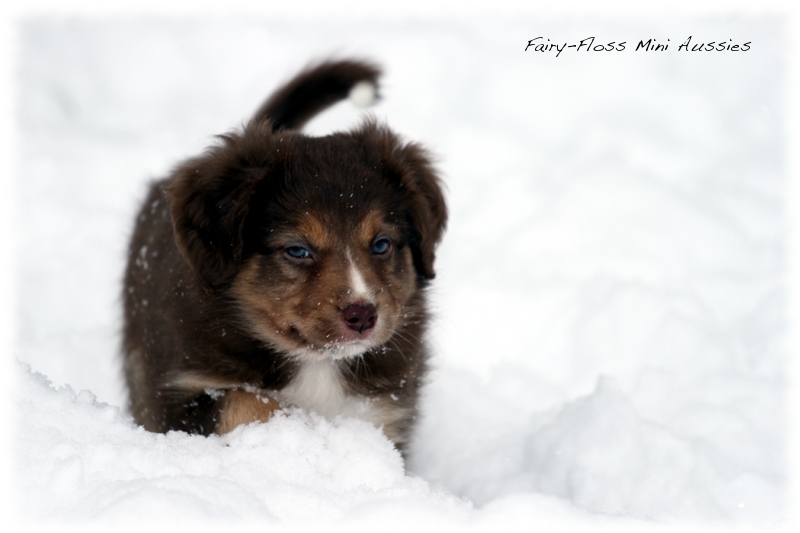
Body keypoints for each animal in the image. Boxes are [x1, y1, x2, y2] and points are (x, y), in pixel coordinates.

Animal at [126, 59, 450, 454]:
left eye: (381, 244)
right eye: (297, 250)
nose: (362, 315)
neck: (318, 364)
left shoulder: (384, 410)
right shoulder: (179, 396)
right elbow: (247, 400)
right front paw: (303, 435)